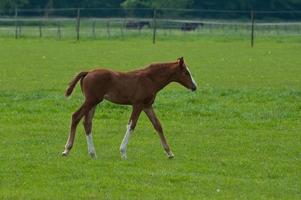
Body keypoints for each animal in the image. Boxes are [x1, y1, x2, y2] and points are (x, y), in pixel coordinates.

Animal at [61, 56, 197, 159]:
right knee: (76, 116)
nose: (194, 87)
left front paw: (169, 153)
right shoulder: (138, 104)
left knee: (87, 122)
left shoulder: (147, 106)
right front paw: (123, 152)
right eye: (186, 72)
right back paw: (67, 149)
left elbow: (158, 125)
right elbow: (132, 125)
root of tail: (88, 72)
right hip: (91, 101)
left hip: (93, 103)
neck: (150, 79)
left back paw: (92, 153)